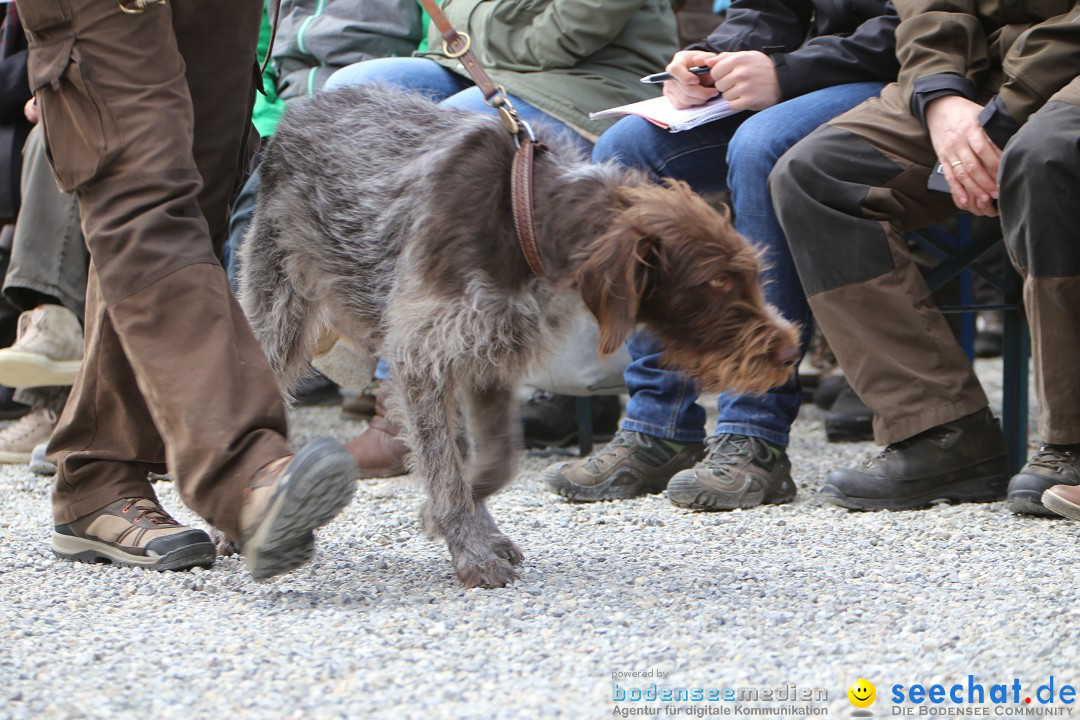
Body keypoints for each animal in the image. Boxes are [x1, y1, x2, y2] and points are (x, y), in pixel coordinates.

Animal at [238, 85, 803, 591]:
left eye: (749, 272)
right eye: (716, 281)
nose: (790, 350)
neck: (525, 216)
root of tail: (295, 112)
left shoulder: (490, 354)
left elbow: (496, 460)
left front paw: (463, 521)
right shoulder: (424, 356)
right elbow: (448, 468)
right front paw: (466, 544)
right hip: (278, 313)